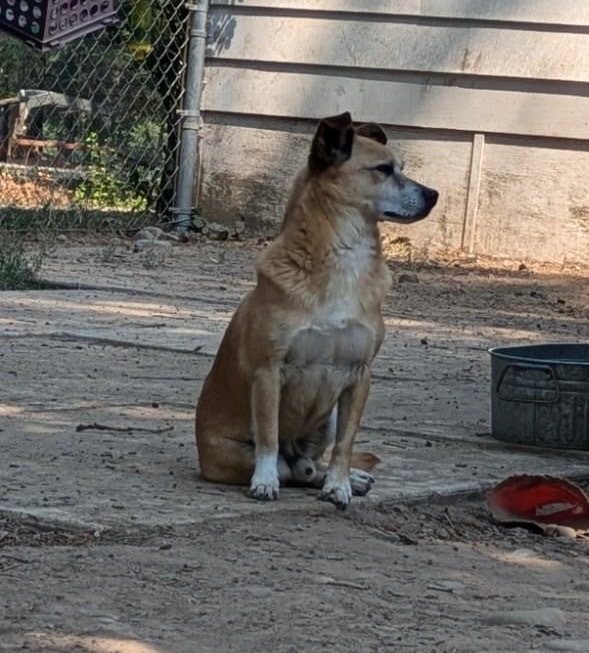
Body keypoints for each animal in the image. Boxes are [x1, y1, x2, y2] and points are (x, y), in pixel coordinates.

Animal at [196, 111, 436, 510]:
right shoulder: (268, 373)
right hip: (232, 455)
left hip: (328, 417)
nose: (434, 194)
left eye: (402, 167)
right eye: (383, 169)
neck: (344, 257)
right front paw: (264, 482)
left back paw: (347, 478)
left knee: (311, 465)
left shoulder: (360, 375)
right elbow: (269, 437)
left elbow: (345, 444)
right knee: (291, 469)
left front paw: (339, 485)